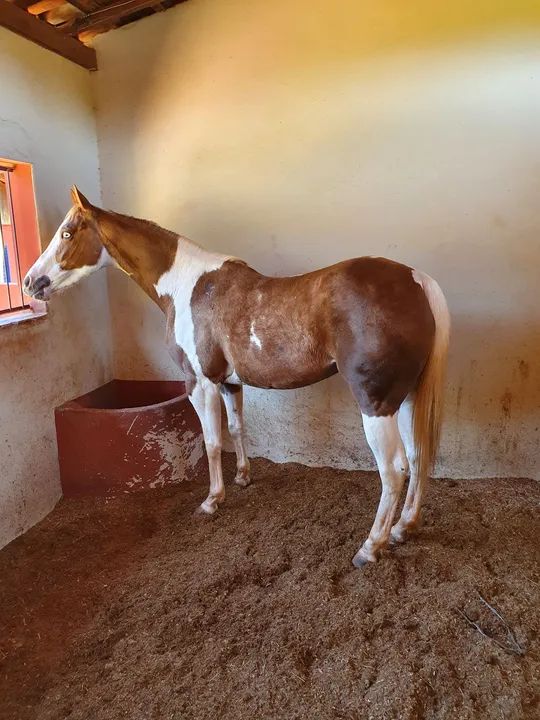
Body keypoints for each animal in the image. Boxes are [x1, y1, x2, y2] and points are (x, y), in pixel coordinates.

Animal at [24, 187, 450, 568]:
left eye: (67, 232)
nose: (31, 282)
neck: (188, 286)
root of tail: (417, 280)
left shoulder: (200, 383)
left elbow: (213, 441)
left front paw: (213, 499)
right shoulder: (230, 383)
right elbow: (236, 427)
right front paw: (243, 478)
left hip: (376, 404)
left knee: (394, 470)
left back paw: (370, 547)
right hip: (406, 397)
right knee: (417, 455)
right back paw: (404, 527)